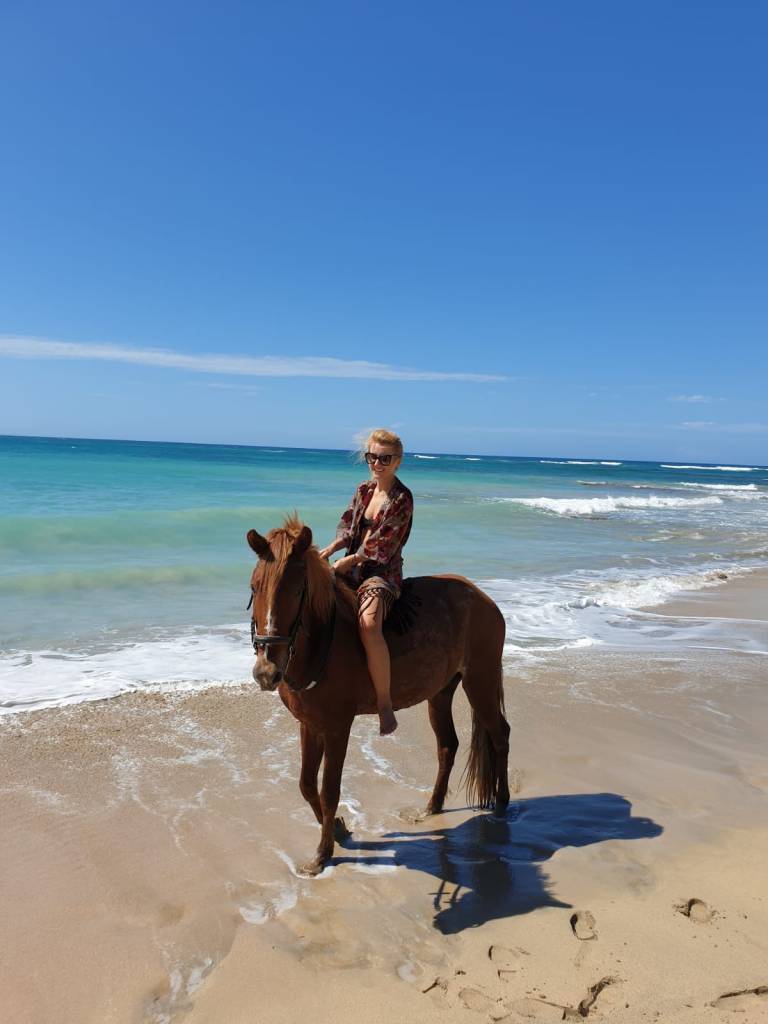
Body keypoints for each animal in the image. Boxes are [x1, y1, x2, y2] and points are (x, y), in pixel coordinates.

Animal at [246, 516, 510, 876]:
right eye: (254, 587)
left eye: (298, 590)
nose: (266, 671)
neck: (320, 646)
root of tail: (484, 599)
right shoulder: (309, 724)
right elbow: (306, 784)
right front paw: (339, 829)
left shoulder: (337, 728)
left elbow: (329, 790)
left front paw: (323, 853)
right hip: (441, 691)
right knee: (448, 745)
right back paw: (431, 807)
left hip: (480, 681)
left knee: (500, 735)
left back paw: (501, 805)